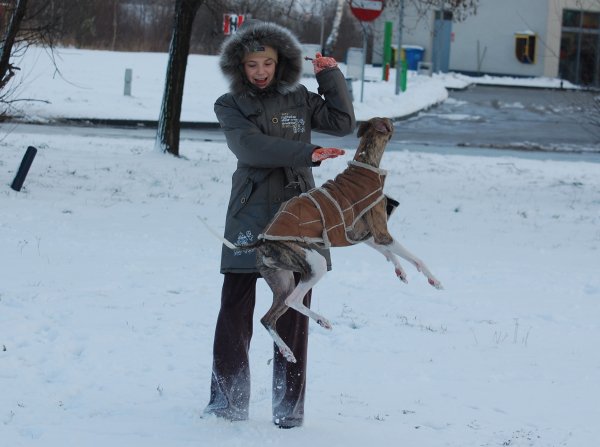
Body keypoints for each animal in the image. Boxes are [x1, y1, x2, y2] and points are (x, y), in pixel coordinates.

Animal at [205, 116, 440, 364]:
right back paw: (321, 320)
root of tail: (262, 241)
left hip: (282, 279)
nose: (394, 121)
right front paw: (434, 280)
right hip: (313, 264)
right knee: (293, 301)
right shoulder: (381, 232)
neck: (366, 163)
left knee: (267, 318)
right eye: (390, 122)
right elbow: (416, 258)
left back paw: (288, 350)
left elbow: (388, 253)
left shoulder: (365, 235)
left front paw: (400, 272)